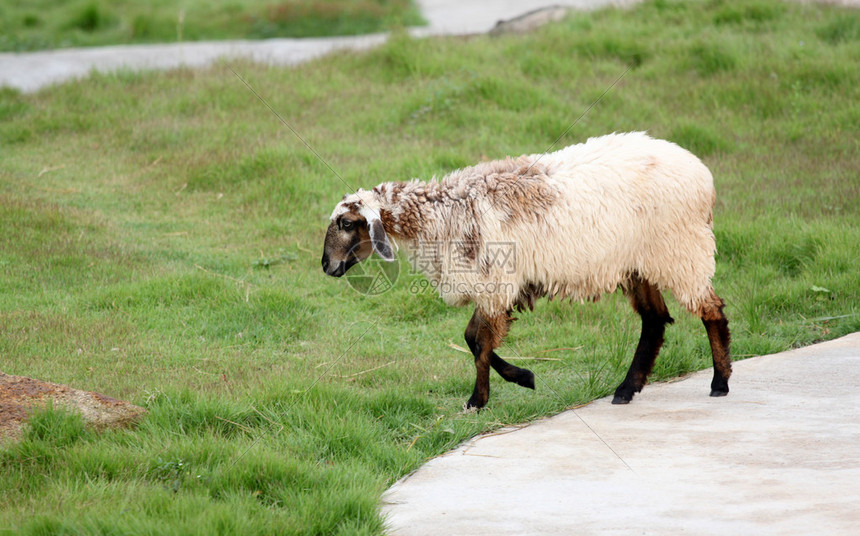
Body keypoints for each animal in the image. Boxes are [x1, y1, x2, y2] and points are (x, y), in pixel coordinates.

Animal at [322, 132, 732, 408]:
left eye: (345, 223)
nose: (326, 266)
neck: (442, 215)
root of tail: (702, 174)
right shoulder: (495, 286)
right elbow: (472, 338)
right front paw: (520, 378)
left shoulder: (494, 282)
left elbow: (479, 342)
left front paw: (481, 398)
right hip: (641, 262)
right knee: (654, 320)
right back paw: (627, 389)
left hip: (680, 250)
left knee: (710, 310)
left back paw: (720, 382)